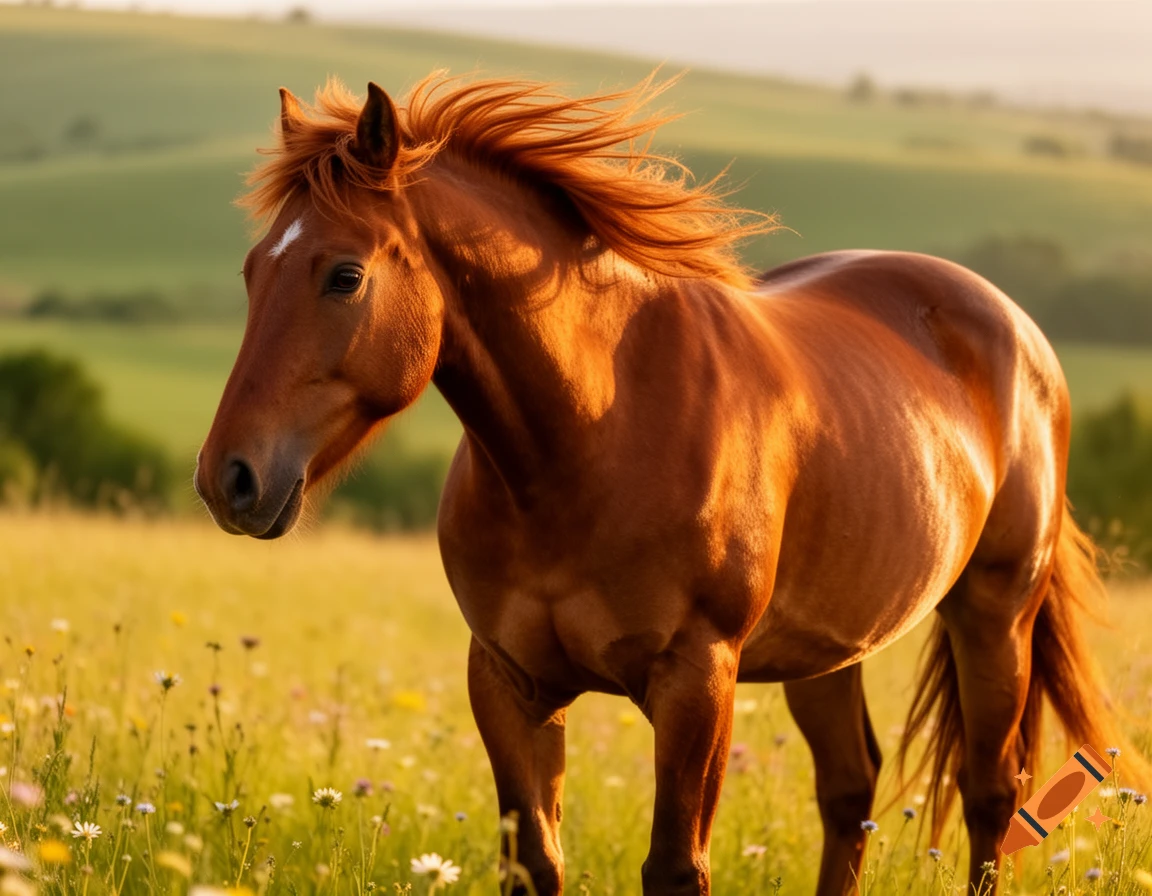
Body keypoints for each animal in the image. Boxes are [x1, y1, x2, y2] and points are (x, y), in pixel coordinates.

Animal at [194, 73, 1143, 895]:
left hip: (994, 613)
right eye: (251, 271)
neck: (586, 446)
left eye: (344, 275)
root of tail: (1012, 324)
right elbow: (534, 861)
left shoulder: (696, 680)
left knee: (990, 795)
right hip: (828, 649)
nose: (227, 480)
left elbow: (676, 868)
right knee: (850, 791)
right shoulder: (505, 680)